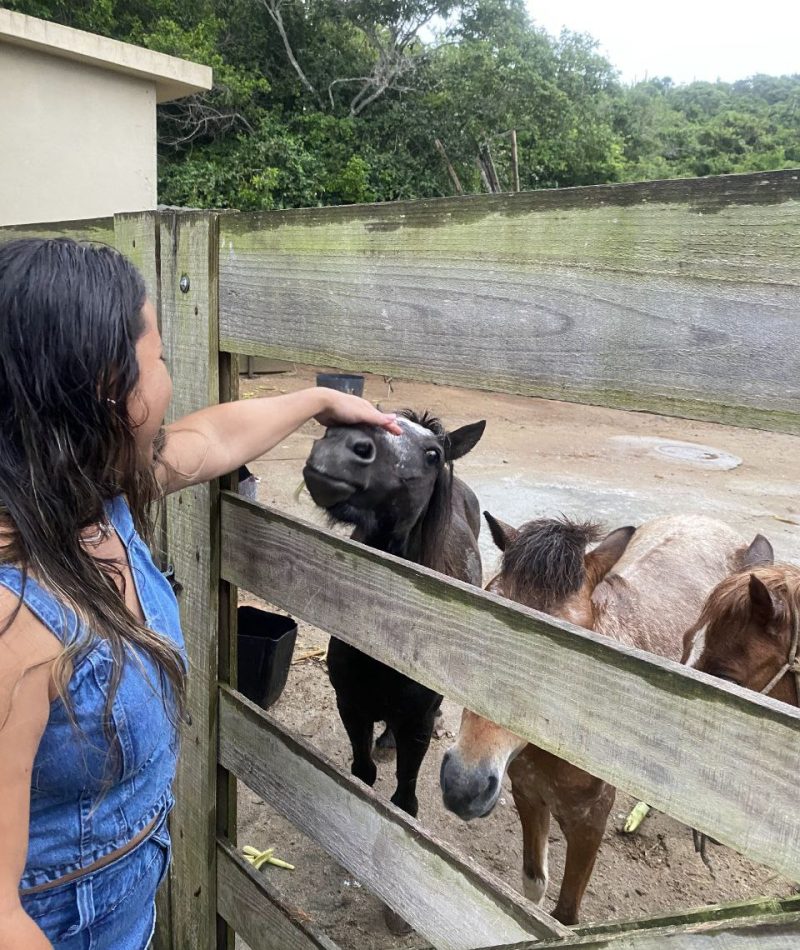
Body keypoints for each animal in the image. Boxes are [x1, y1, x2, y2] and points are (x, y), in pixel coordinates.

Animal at [304, 412, 484, 820]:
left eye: (433, 454)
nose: (340, 446)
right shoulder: (351, 707)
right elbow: (362, 774)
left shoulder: (416, 727)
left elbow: (404, 800)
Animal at [438, 512, 768, 924]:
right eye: (482, 610)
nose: (463, 783)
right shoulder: (528, 795)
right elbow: (533, 888)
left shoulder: (589, 824)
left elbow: (564, 917)